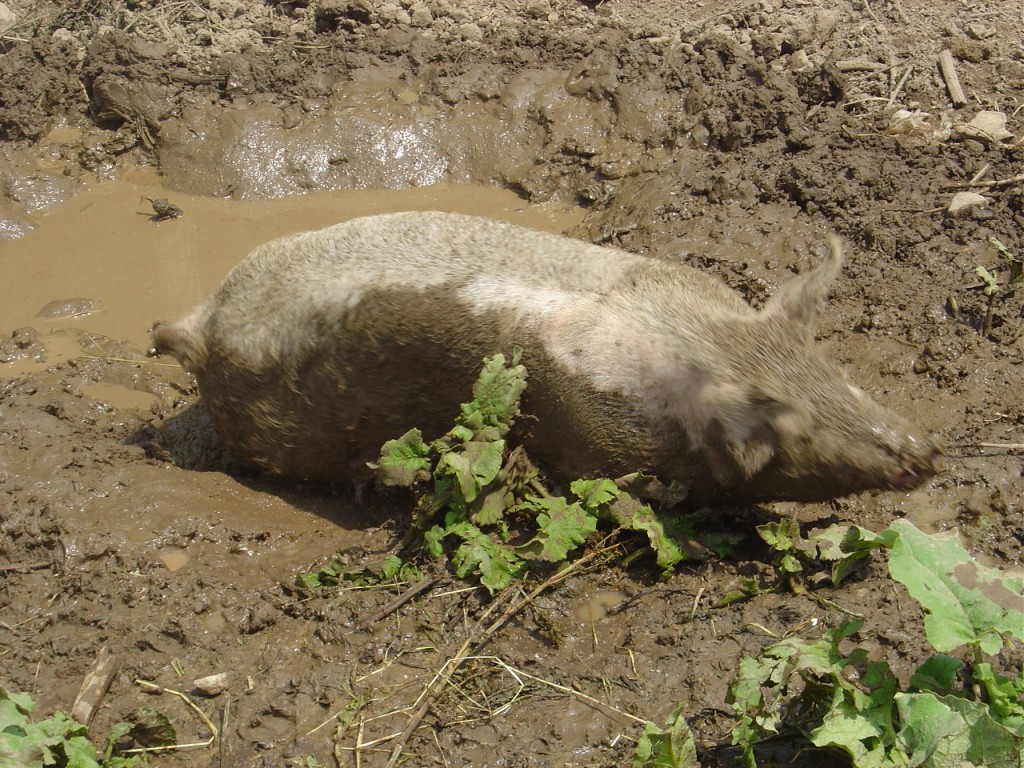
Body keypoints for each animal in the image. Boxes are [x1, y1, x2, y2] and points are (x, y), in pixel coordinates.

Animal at [148, 211, 939, 506]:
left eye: (842, 378)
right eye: (787, 433)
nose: (927, 453)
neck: (692, 340)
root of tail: (202, 325)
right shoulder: (592, 439)